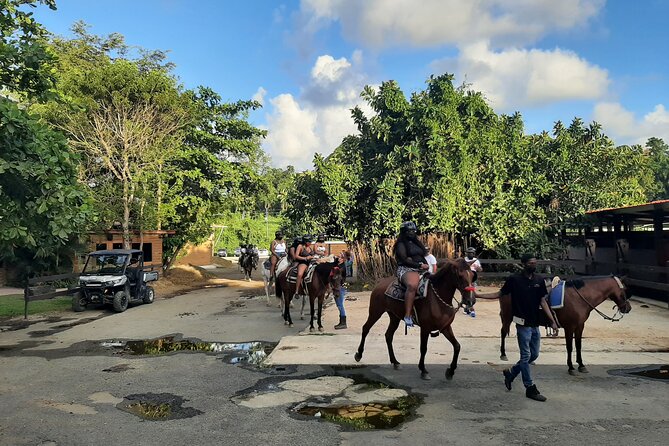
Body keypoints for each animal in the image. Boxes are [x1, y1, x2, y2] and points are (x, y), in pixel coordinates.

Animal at [498, 276, 636, 372]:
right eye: (625, 290)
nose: (628, 308)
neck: (580, 298)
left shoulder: (580, 326)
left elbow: (578, 346)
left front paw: (581, 365)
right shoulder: (569, 327)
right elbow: (569, 347)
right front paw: (570, 367)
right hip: (507, 316)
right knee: (503, 332)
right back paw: (503, 354)